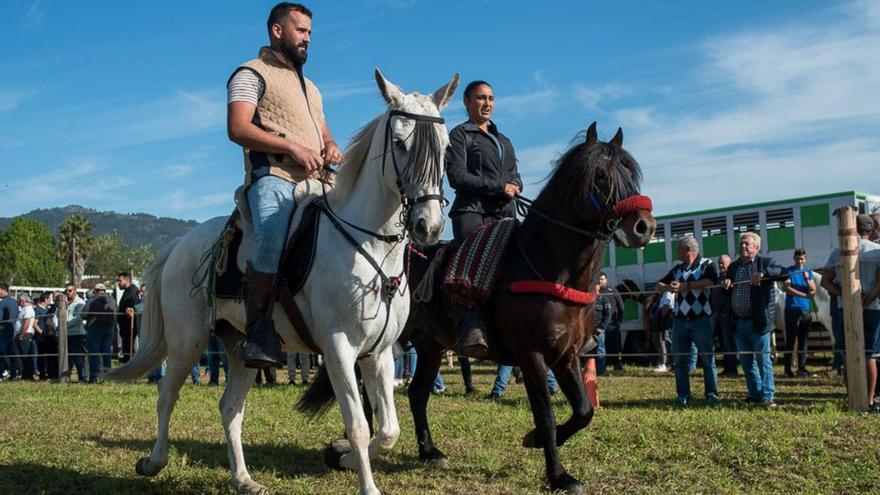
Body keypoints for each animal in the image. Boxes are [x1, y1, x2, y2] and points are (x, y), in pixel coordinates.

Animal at [110, 70, 460, 495]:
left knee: (230, 408)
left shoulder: (378, 353)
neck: (368, 244)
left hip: (240, 347)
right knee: (167, 395)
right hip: (186, 341)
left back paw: (244, 479)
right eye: (400, 143)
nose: (429, 226)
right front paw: (363, 479)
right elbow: (359, 425)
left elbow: (389, 429)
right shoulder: (339, 349)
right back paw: (153, 461)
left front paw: (341, 456)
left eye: (445, 148)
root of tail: (181, 244)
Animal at [402, 123, 656, 492]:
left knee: (417, 393)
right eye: (600, 176)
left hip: (429, 346)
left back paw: (429, 452)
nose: (644, 227)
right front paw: (559, 475)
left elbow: (583, 410)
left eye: (631, 173)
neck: (546, 267)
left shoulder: (565, 356)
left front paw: (534, 440)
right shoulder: (532, 356)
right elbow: (547, 415)